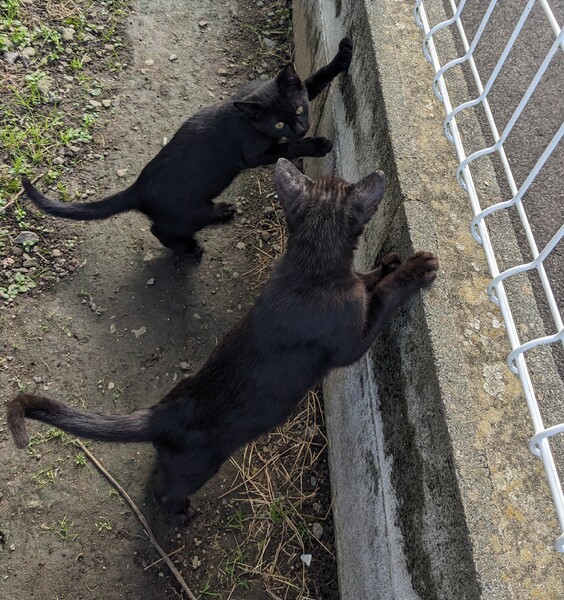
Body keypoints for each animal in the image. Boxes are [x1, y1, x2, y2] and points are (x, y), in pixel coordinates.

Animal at [8, 158, 439, 519]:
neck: (310, 269)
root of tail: (161, 414)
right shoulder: (352, 340)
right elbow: (381, 298)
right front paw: (415, 269)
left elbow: (367, 281)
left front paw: (389, 262)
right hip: (199, 466)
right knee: (165, 488)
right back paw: (180, 514)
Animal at [21, 39, 354, 257]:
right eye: (280, 124)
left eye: (299, 110)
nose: (301, 128)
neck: (248, 118)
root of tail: (138, 189)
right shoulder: (253, 153)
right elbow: (288, 149)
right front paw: (317, 144)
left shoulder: (300, 89)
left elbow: (316, 79)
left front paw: (344, 54)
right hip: (190, 213)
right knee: (160, 230)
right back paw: (189, 248)